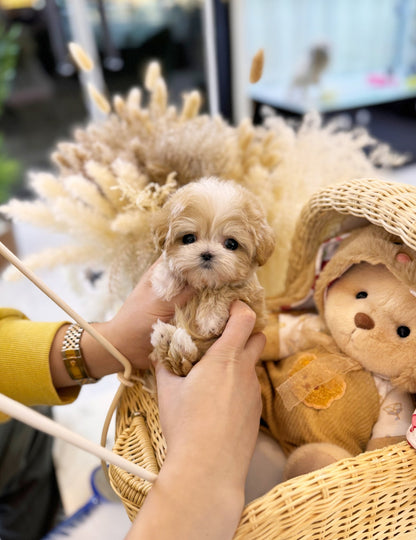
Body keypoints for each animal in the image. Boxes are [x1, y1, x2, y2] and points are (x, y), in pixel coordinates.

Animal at [150, 177, 276, 376]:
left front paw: (210, 316)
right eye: (188, 239)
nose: (207, 254)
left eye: (231, 244)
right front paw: (167, 281)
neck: (205, 284)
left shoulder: (255, 304)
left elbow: (227, 289)